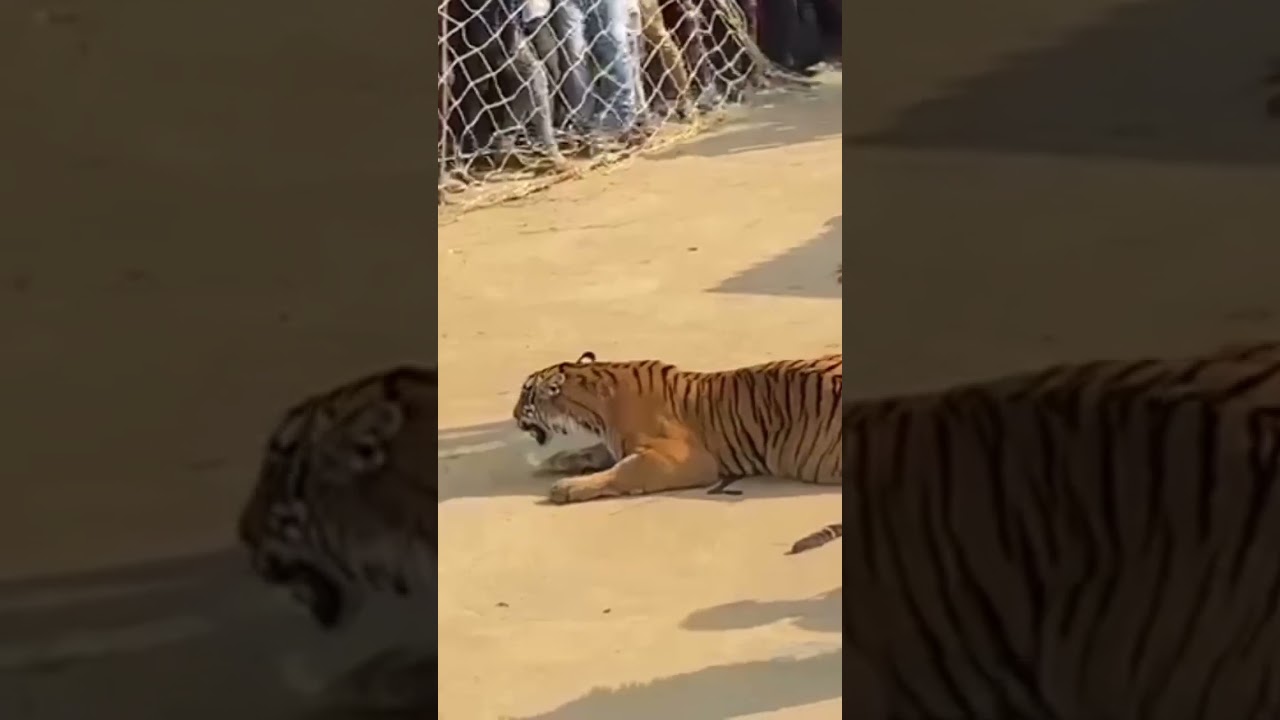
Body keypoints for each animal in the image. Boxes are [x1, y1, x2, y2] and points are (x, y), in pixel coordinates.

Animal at [513, 351, 842, 504]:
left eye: (525, 394)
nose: (514, 415)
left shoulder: (683, 459)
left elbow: (622, 472)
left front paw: (566, 488)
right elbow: (595, 452)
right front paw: (554, 462)